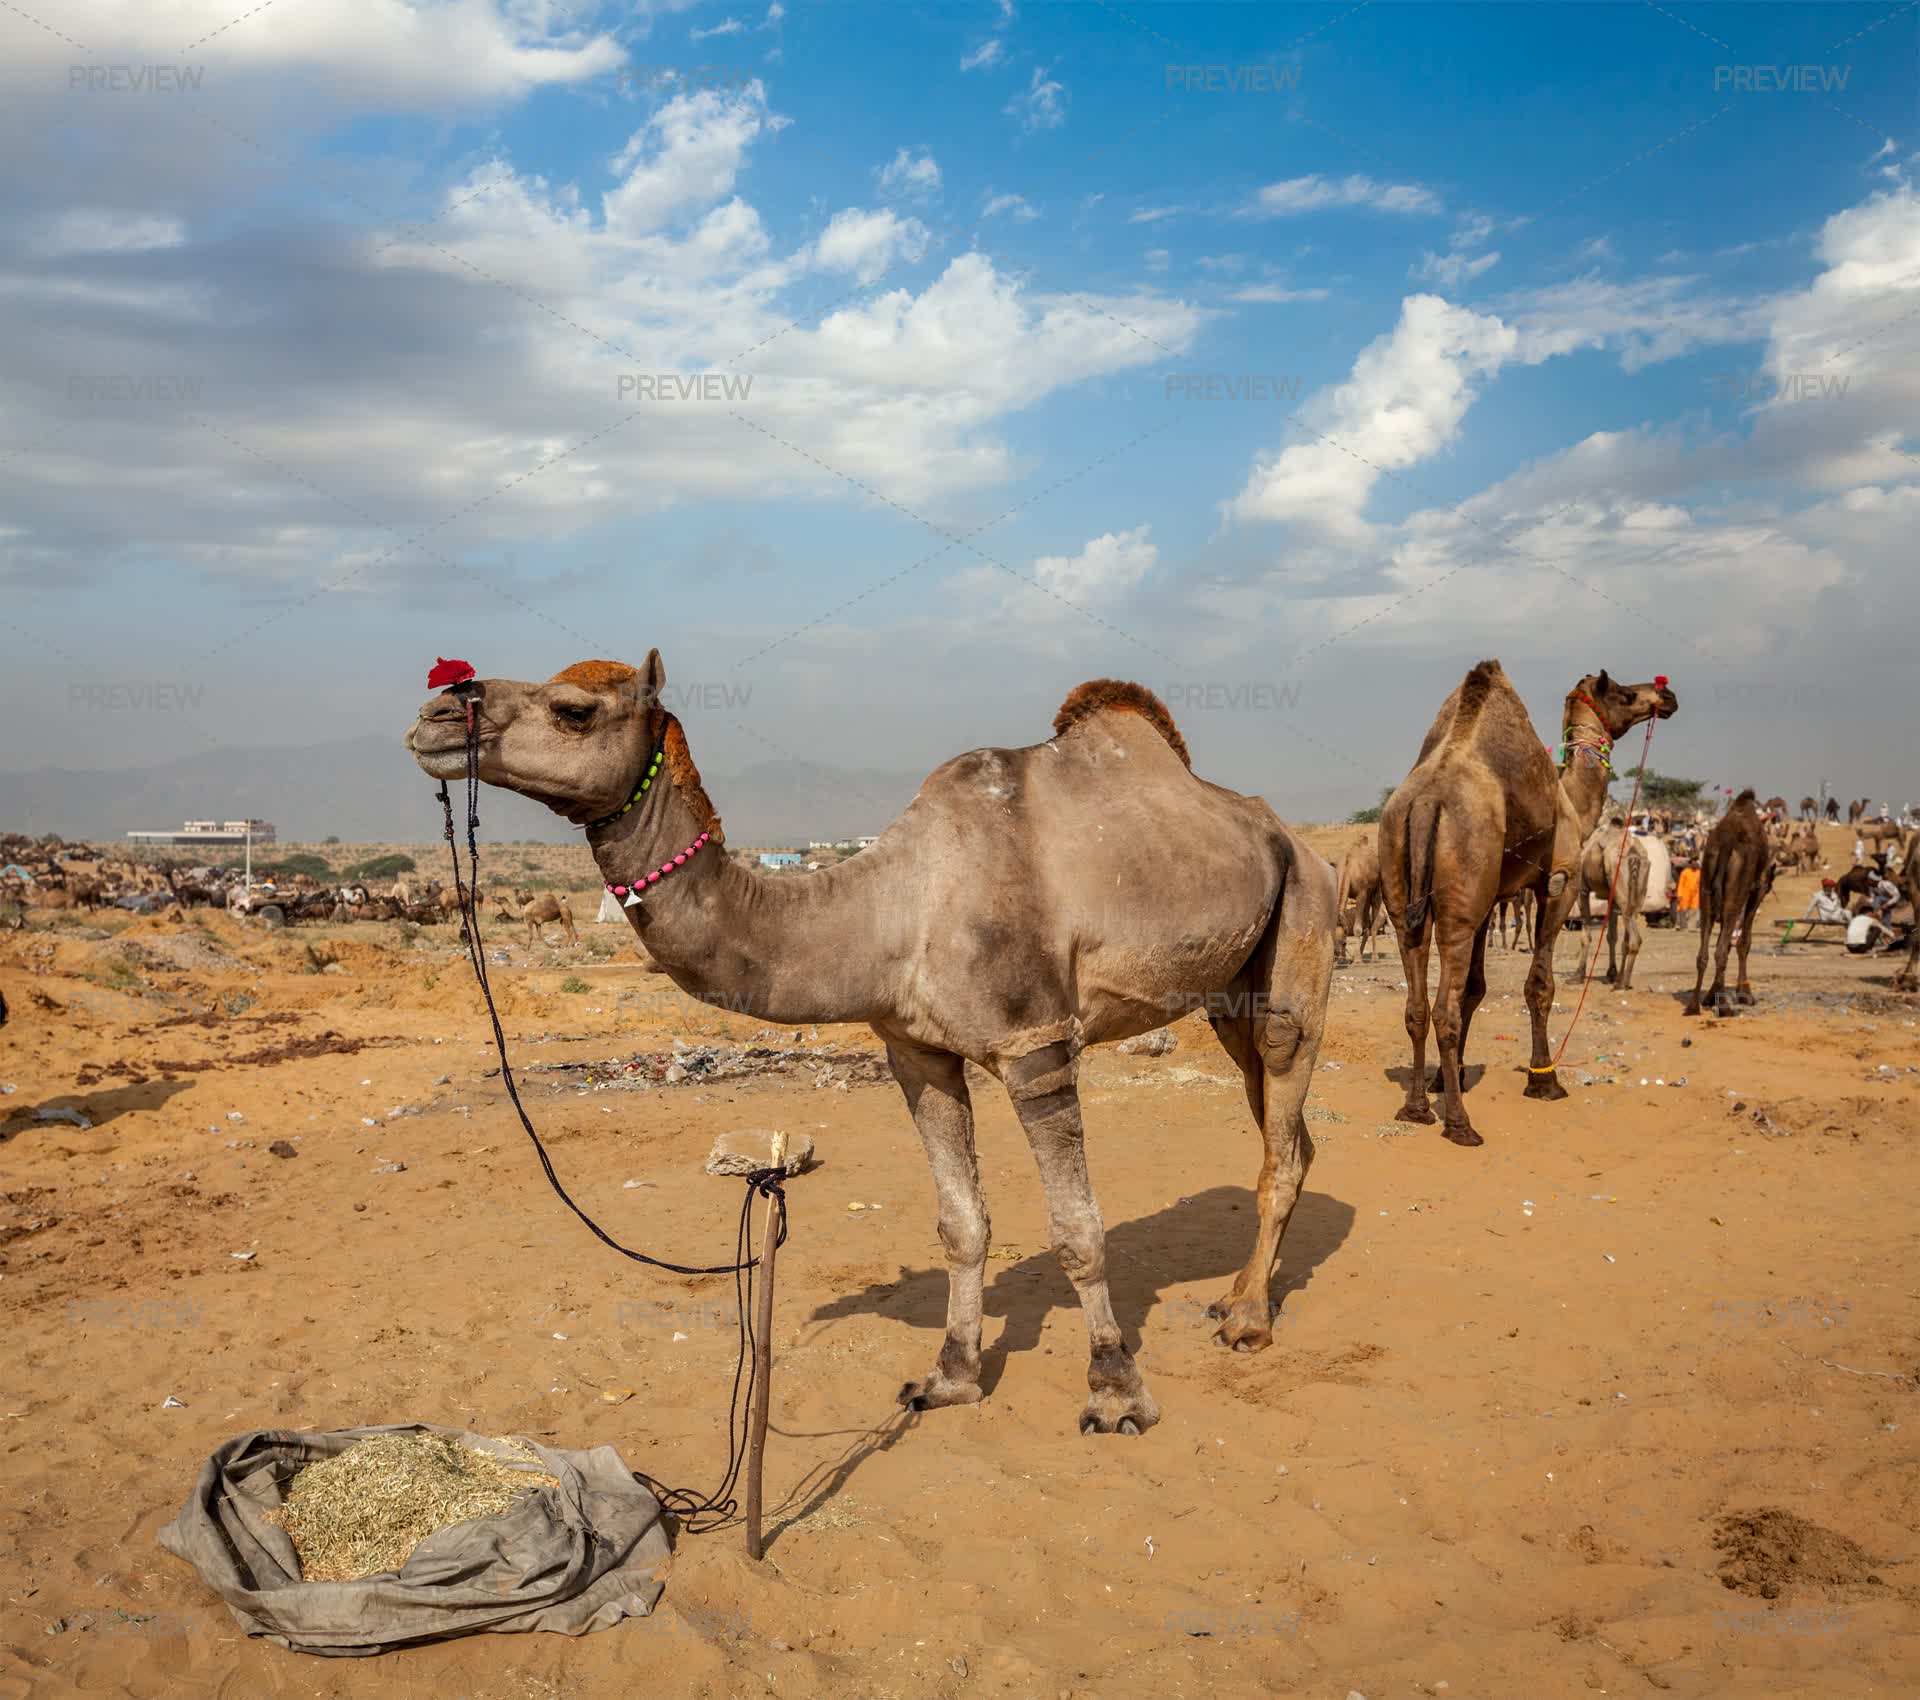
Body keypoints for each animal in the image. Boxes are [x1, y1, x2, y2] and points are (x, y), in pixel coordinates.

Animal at [406, 653, 1337, 1435]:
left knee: (1284, 1112)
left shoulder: (1034, 1044)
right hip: (1225, 994)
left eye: (572, 709)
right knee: (1282, 1130)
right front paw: (950, 1377)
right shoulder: (915, 1052)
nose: (435, 713)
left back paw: (1248, 1321)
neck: (893, 907)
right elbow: (961, 1222)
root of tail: (1294, 838)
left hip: (1302, 924)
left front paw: (1114, 1392)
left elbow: (1078, 1229)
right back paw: (1234, 1298)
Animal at [1332, 834, 1387, 964]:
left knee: (1374, 922)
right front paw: (1345, 960)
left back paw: (1374, 958)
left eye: (1343, 941)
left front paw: (1356, 960)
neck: (1348, 868)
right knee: (1366, 925)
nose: (1336, 956)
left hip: (1376, 890)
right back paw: (1359, 955)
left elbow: (1357, 929)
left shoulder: (1361, 893)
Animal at [1576, 818, 1651, 990]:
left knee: (1634, 938)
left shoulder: (1582, 889)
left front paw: (1578, 975)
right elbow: (1612, 936)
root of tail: (1634, 854)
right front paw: (1611, 973)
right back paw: (1620, 980)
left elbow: (1585, 936)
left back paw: (1623, 983)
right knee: (1629, 930)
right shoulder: (1612, 899)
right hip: (1637, 893)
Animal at [1683, 789, 1775, 1016]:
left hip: (1706, 885)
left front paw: (1711, 997)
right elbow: (1743, 942)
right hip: (1736, 889)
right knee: (1722, 950)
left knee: (1705, 951)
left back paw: (1694, 1006)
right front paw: (1745, 995)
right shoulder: (1758, 888)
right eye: (1768, 887)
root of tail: (1726, 842)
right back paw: (1725, 1008)